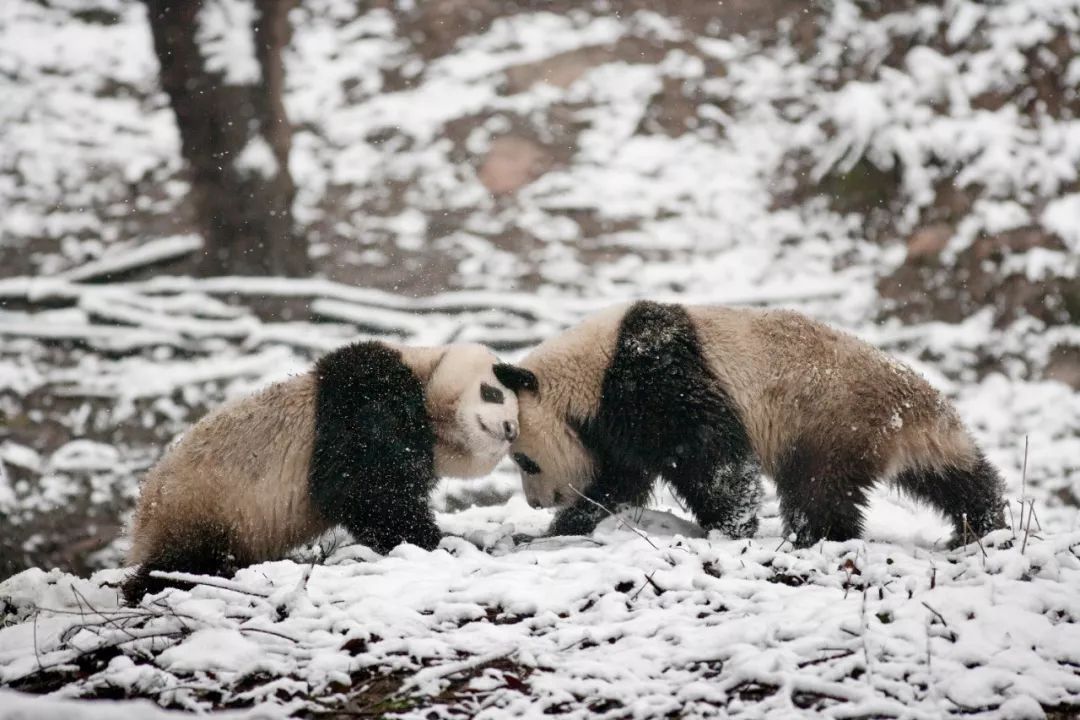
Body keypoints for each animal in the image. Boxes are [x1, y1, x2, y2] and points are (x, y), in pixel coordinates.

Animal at [124, 341, 529, 604]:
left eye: (518, 420)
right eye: (492, 392)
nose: (510, 429)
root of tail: (142, 519)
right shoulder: (366, 397)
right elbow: (364, 488)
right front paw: (433, 540)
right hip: (201, 505)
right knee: (182, 562)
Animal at [501, 302, 1006, 546]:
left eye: (525, 461)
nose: (536, 502)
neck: (590, 373)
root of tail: (912, 410)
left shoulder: (653, 375)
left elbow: (709, 456)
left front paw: (729, 528)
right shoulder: (618, 422)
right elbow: (620, 481)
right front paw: (559, 528)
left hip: (831, 419)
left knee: (818, 489)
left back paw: (814, 537)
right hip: (891, 430)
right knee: (953, 475)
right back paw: (982, 525)